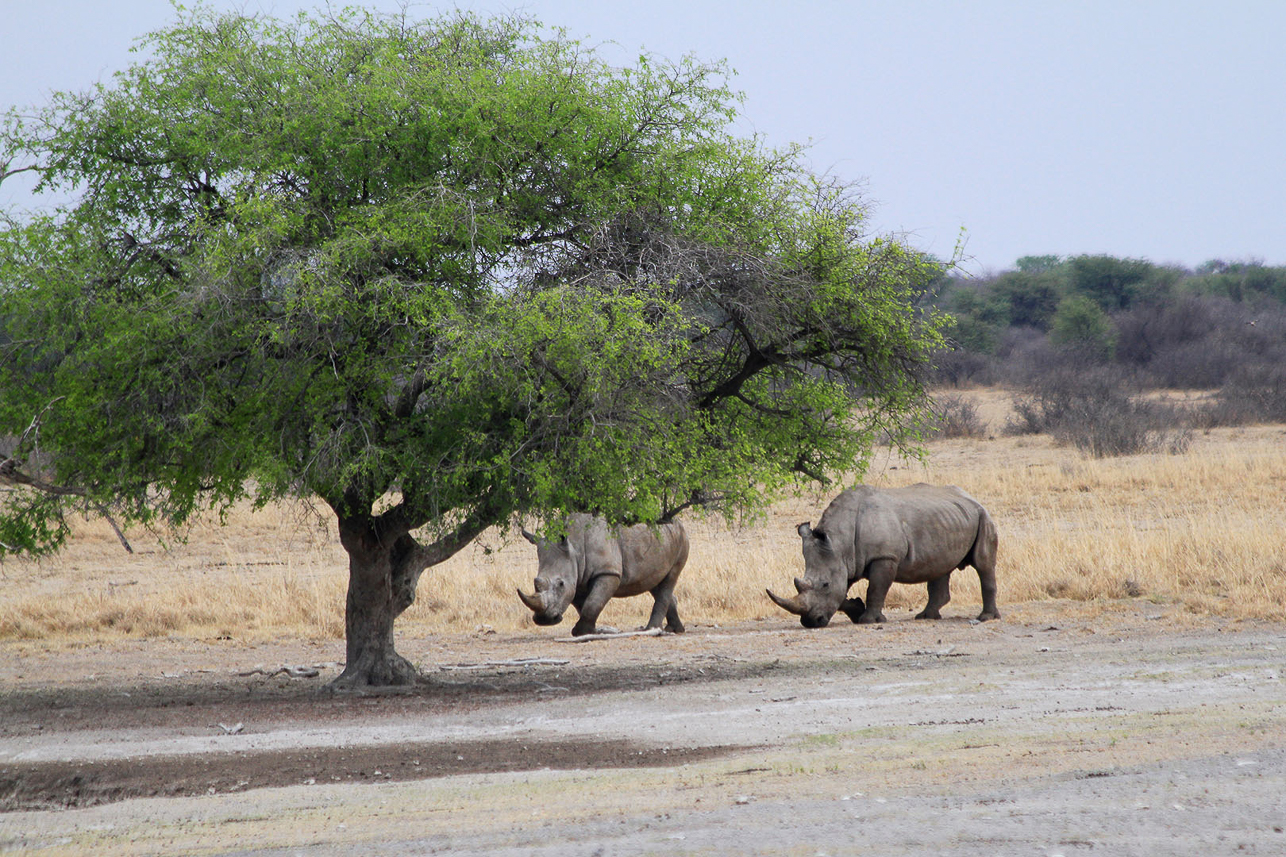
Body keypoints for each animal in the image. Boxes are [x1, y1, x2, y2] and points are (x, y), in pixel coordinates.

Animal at [516, 514, 689, 633]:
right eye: (535, 582)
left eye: (560, 584)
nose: (544, 620)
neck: (574, 547)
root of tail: (678, 522)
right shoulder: (577, 578)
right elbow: (584, 605)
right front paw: (589, 631)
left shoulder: (608, 572)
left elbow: (593, 602)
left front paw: (580, 632)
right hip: (664, 539)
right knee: (654, 583)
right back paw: (674, 630)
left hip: (681, 539)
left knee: (670, 578)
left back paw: (652, 630)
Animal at [766, 481, 997, 627]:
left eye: (825, 585)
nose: (811, 623)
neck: (839, 541)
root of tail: (971, 497)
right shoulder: (847, 561)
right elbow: (842, 593)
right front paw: (856, 609)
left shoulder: (885, 557)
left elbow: (876, 589)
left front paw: (868, 620)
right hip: (949, 518)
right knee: (940, 567)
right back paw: (926, 617)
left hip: (983, 516)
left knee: (983, 564)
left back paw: (986, 618)